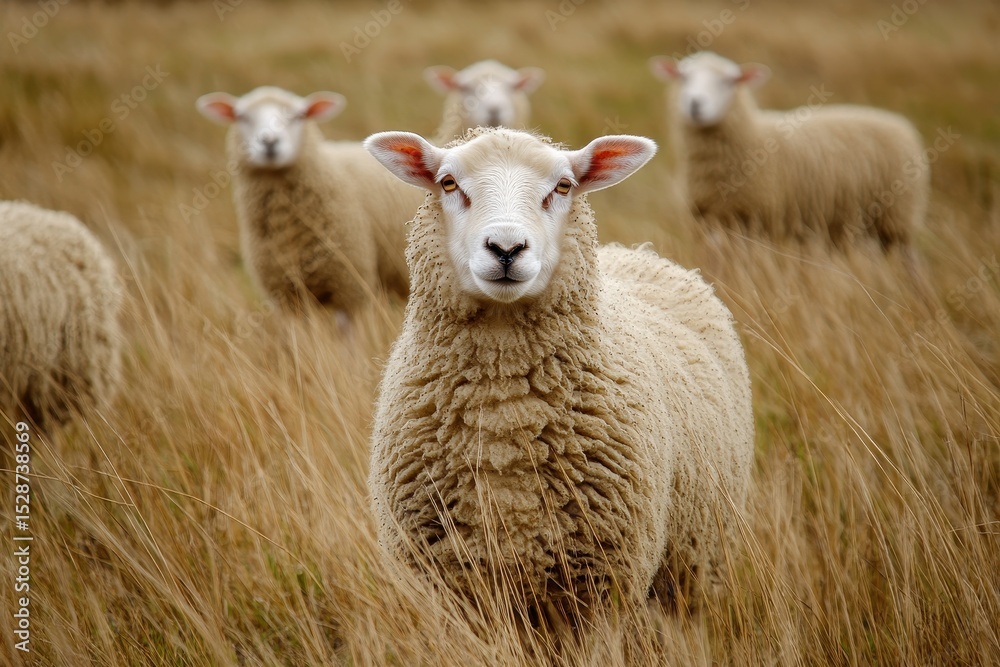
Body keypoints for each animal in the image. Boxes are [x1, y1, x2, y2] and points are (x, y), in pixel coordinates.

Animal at [363, 127, 754, 618]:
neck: (504, 412)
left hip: (696, 562)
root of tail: (636, 253)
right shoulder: (446, 590)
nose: (506, 248)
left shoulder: (603, 587)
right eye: (448, 183)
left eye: (564, 186)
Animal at [649, 51, 929, 250]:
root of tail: (901, 124)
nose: (695, 104)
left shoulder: (756, 220)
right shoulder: (707, 222)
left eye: (730, 81)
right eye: (683, 77)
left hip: (898, 220)